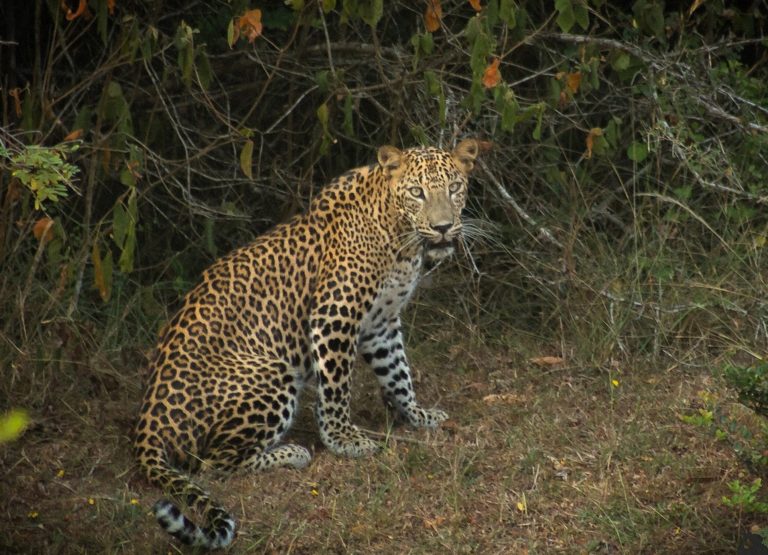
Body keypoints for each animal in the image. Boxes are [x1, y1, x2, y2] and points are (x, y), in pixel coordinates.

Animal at [134, 139, 479, 549]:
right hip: (272, 374)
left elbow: (399, 373)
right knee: (213, 462)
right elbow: (337, 388)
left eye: (454, 188)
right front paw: (343, 440)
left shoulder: (381, 323)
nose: (443, 228)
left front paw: (417, 414)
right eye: (417, 192)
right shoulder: (334, 313)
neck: (399, 236)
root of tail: (148, 425)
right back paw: (291, 452)